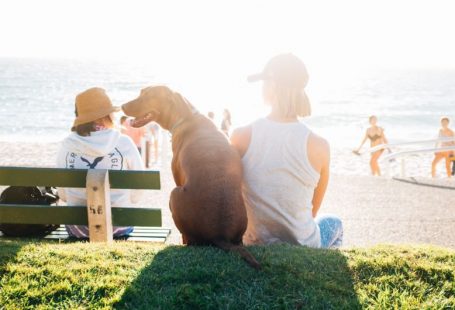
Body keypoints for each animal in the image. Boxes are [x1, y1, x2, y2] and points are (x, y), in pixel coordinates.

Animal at [123, 85, 262, 268]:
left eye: (148, 96)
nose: (122, 106)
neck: (186, 116)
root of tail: (220, 235)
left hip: (174, 194)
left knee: (189, 240)